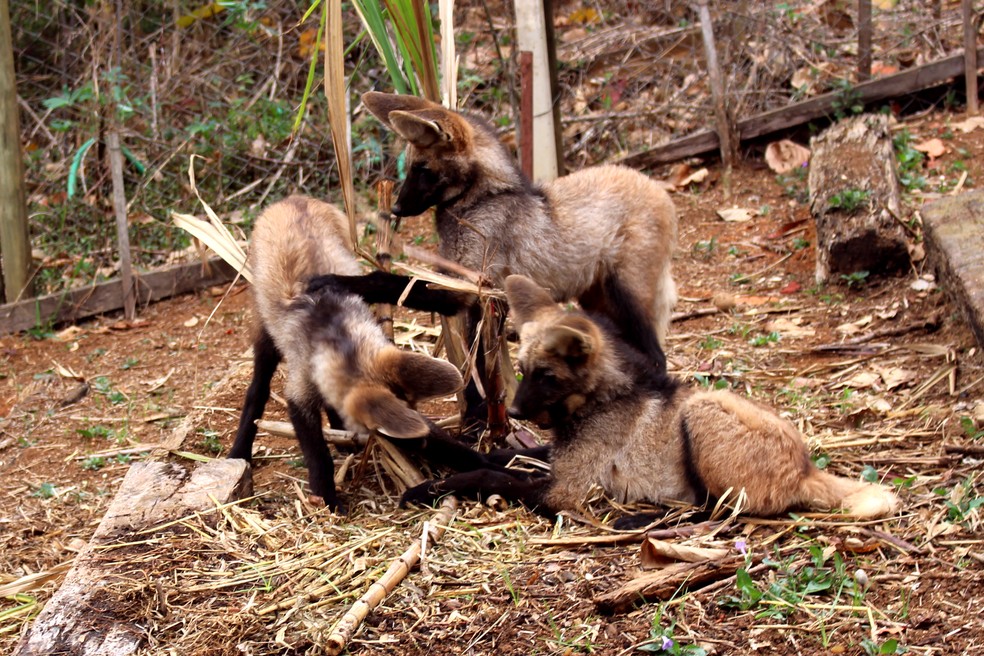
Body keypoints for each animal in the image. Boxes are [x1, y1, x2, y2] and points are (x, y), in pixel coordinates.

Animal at [228, 195, 494, 510]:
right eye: (382, 431)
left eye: (415, 414)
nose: (423, 443)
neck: (335, 331)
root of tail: (292, 198)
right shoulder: (299, 390)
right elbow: (317, 453)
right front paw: (327, 498)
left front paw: (486, 463)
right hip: (266, 334)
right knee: (257, 388)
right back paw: (240, 450)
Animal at [361, 91, 677, 371]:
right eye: (411, 168)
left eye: (422, 169)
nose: (396, 208)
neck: (480, 201)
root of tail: (658, 189)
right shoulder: (470, 291)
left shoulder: (466, 288)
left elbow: (383, 281)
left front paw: (347, 283)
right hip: (595, 300)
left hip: (625, 293)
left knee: (657, 358)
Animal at [402, 275, 901, 521]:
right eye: (523, 371)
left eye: (546, 376)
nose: (515, 412)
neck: (599, 403)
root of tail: (806, 466)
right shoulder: (558, 456)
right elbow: (492, 459)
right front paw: (435, 450)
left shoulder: (566, 490)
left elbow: (490, 476)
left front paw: (429, 488)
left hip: (701, 412)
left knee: (722, 511)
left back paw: (638, 520)